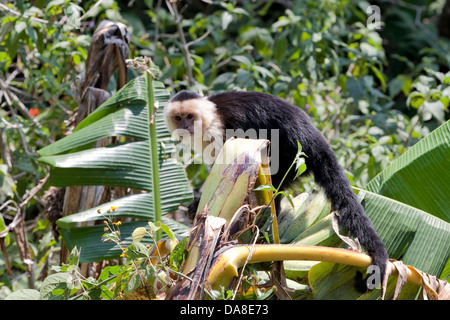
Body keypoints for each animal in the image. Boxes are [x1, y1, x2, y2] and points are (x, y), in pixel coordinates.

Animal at [163, 90, 388, 290]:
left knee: (275, 180)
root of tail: (315, 136)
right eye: (178, 118)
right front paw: (196, 204)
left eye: (190, 117)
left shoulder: (221, 130)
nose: (184, 126)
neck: (210, 118)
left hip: (294, 153)